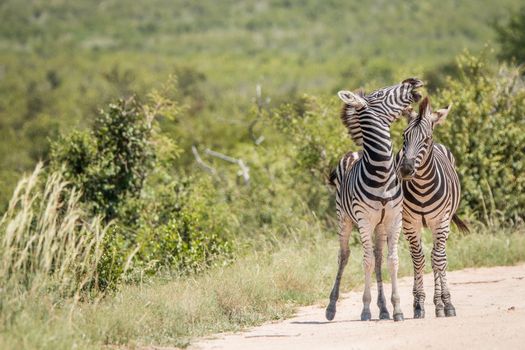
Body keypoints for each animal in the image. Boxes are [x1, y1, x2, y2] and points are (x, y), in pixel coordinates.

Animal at [324, 78, 422, 322]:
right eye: (378, 94)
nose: (413, 81)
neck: (382, 172)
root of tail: (354, 152)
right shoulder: (364, 220)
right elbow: (366, 262)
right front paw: (366, 309)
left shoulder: (394, 219)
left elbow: (391, 261)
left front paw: (396, 309)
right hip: (345, 219)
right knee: (344, 256)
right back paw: (331, 307)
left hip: (380, 226)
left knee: (378, 258)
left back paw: (384, 309)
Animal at [400, 96, 468, 320]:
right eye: (404, 136)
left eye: (426, 139)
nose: (405, 170)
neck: (422, 187)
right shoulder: (410, 223)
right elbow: (418, 259)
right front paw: (418, 304)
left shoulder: (441, 220)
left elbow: (438, 260)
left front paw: (447, 303)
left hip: (440, 224)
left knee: (439, 258)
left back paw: (440, 304)